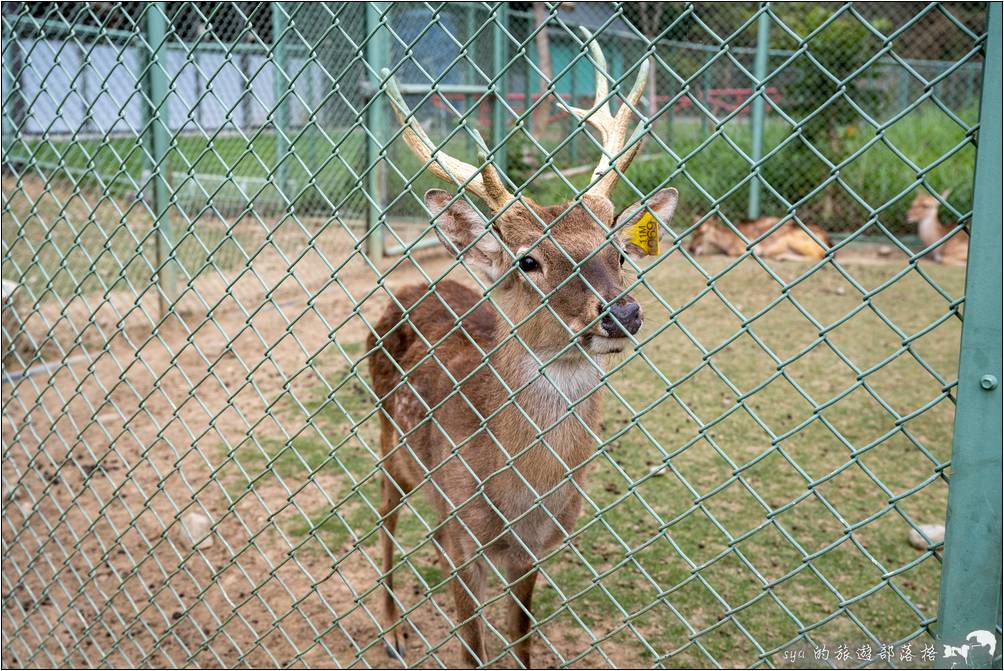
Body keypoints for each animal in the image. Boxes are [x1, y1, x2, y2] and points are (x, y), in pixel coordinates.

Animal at [367, 34, 674, 666]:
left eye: (619, 252)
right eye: (528, 260)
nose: (622, 313)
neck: (520, 499)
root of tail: (409, 287)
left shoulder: (539, 547)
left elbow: (523, 636)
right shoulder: (467, 535)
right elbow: (473, 648)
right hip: (388, 437)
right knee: (384, 515)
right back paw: (392, 630)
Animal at [690, 215, 831, 261]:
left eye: (701, 233)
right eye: (693, 233)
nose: (691, 249)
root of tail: (827, 240)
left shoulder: (752, 247)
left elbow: (731, 253)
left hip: (791, 239)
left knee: (817, 256)